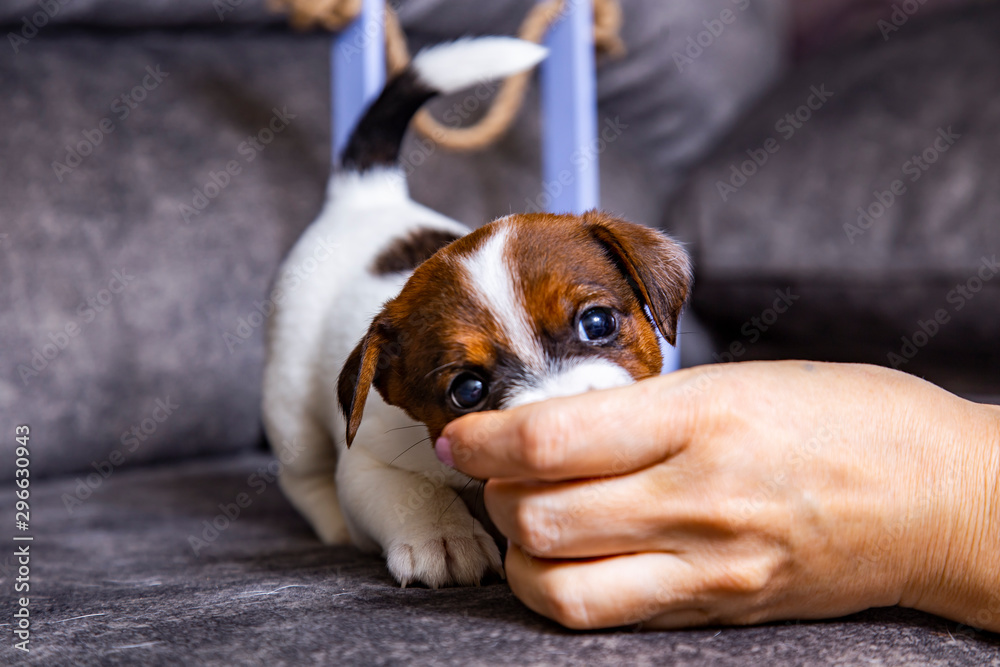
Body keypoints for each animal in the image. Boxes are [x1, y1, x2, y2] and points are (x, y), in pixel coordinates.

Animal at [262, 36, 692, 588]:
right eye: (468, 391)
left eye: (597, 323)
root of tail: (366, 197)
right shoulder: (367, 462)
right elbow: (405, 492)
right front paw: (444, 536)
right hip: (289, 403)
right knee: (304, 473)